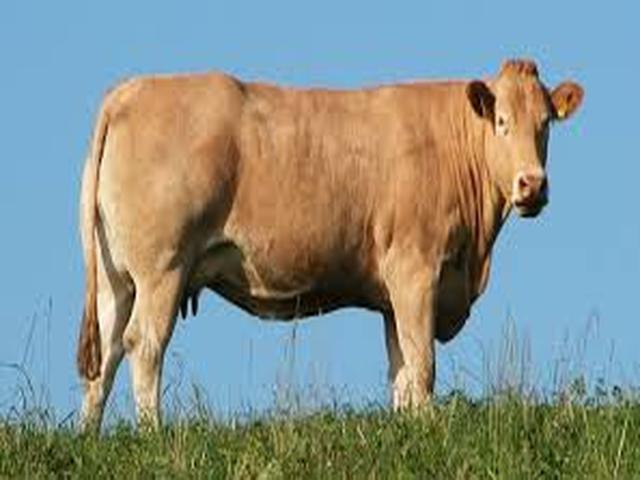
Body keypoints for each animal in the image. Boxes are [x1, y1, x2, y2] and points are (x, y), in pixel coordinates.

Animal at [76, 59, 583, 430]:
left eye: (545, 124)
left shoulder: (392, 295)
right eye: (501, 122)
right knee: (143, 344)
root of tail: (131, 90)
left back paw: (89, 438)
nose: (532, 185)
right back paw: (153, 435)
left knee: (106, 355)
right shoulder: (416, 269)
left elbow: (401, 369)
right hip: (162, 268)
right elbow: (423, 363)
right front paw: (430, 428)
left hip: (116, 277)